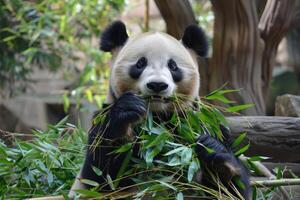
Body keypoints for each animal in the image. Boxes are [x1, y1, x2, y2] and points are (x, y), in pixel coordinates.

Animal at [69, 20, 251, 200]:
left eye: (173, 66)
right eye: (140, 63)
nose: (157, 85)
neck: (158, 118)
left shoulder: (208, 123)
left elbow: (231, 190)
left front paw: (215, 153)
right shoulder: (102, 117)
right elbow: (101, 178)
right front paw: (128, 110)